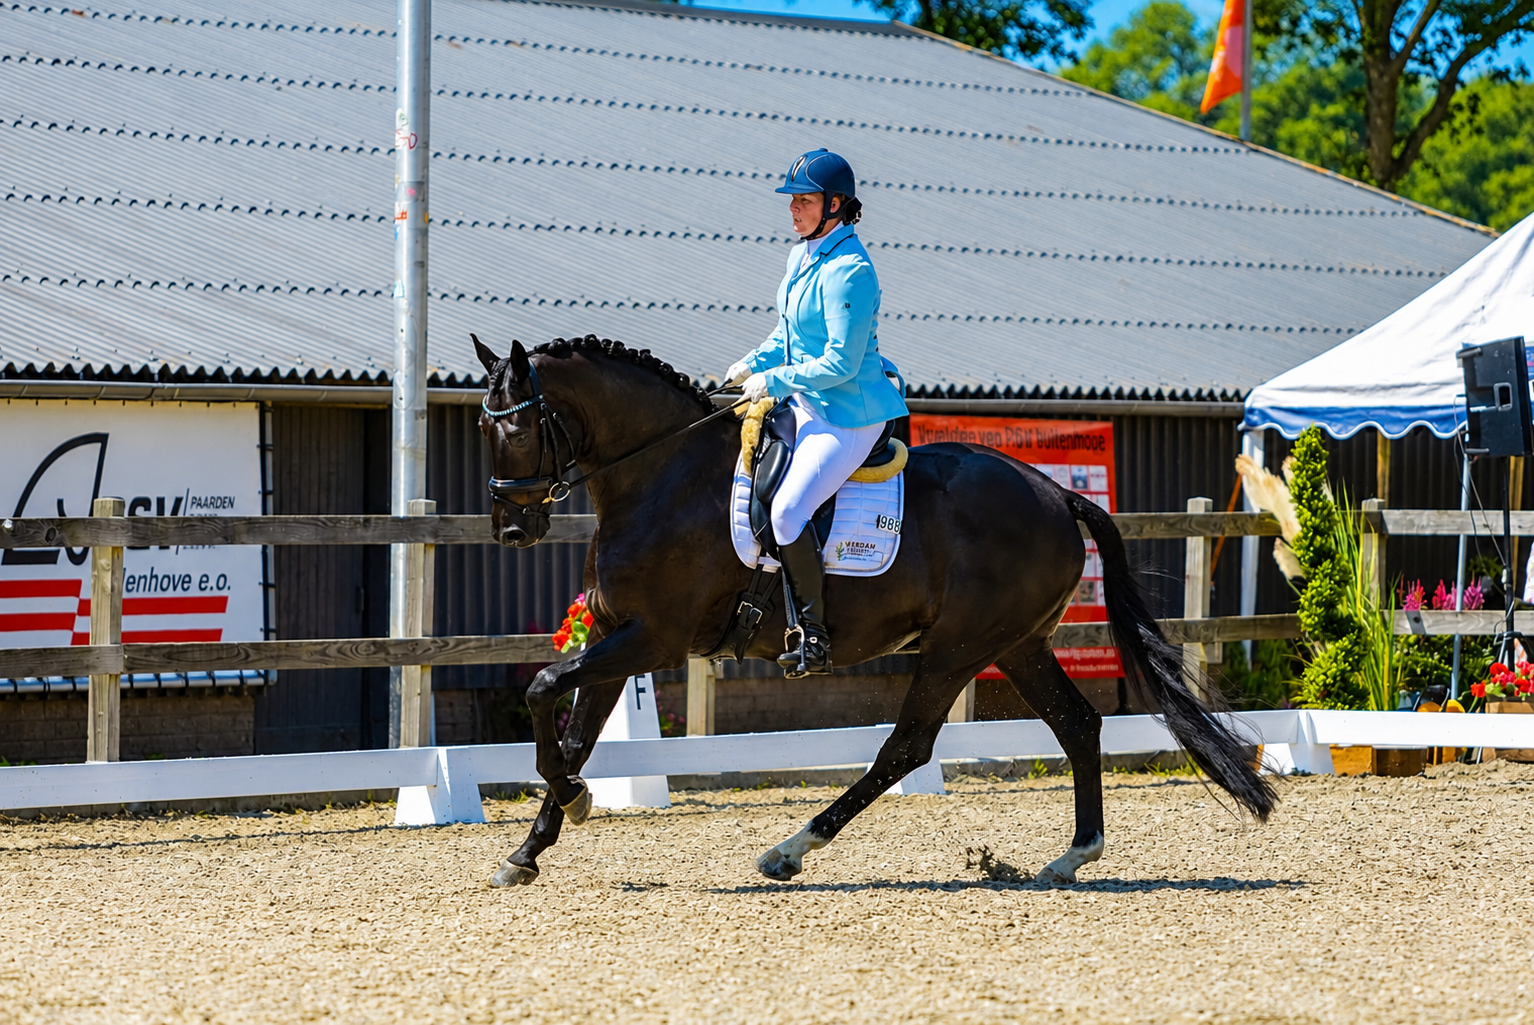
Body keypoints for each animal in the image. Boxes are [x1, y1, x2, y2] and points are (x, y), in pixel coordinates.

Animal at [473, 334, 1276, 888]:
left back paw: (790, 849)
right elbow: (573, 735)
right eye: (483, 429)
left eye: (517, 428)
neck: (664, 476)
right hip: (1016, 645)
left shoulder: (654, 639)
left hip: (956, 649)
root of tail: (1054, 492)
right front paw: (530, 847)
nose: (511, 530)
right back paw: (1071, 856)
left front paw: (571, 803)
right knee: (1077, 724)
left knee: (908, 746)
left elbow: (543, 689)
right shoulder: (616, 634)